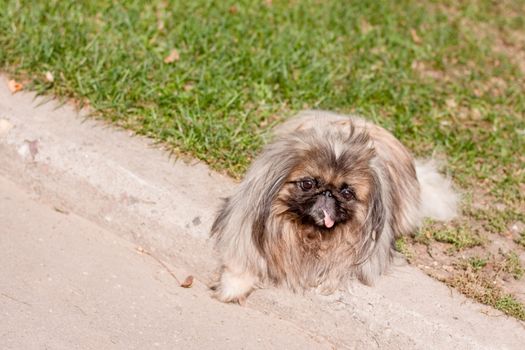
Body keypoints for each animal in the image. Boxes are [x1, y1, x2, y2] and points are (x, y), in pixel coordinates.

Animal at [209, 110, 454, 304]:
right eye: (308, 184)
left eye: (346, 193)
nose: (327, 193)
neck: (308, 232)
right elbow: (241, 263)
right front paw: (232, 288)